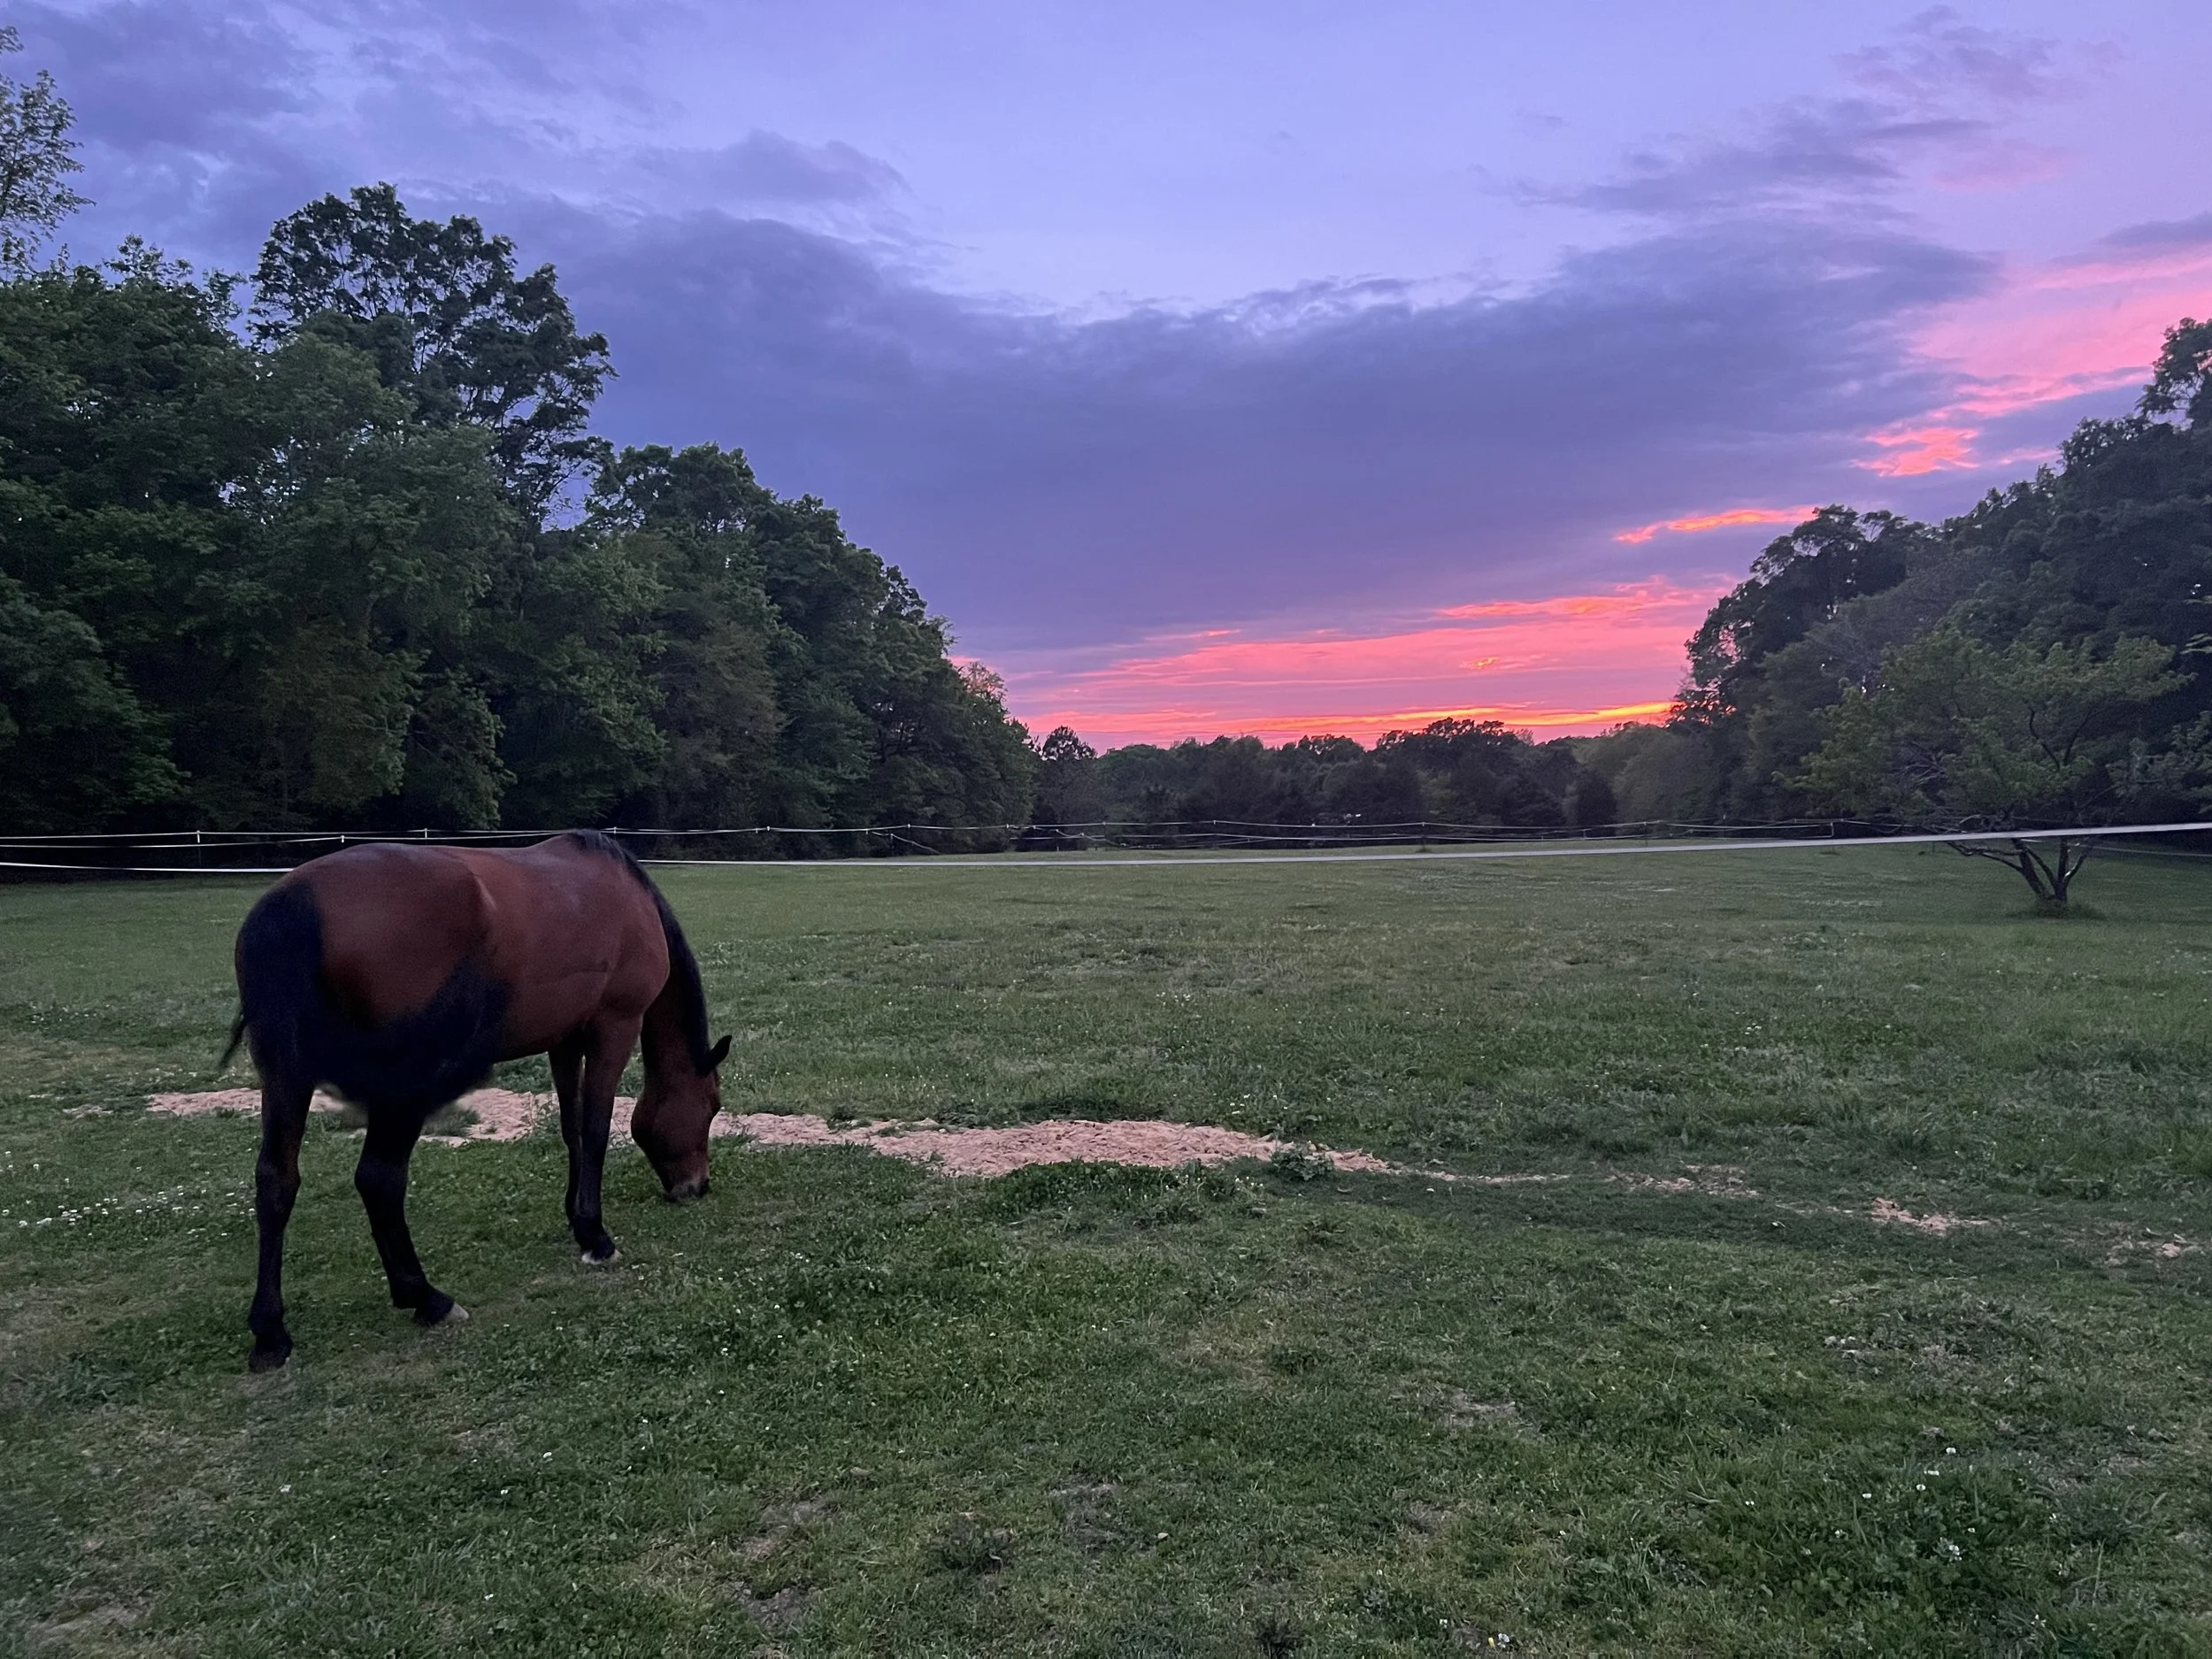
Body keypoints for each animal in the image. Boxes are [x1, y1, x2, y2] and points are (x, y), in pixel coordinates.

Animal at [223, 830, 731, 1372]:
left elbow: (571, 1130)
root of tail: (298, 903)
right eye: (712, 1106)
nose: (697, 1186)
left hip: (286, 1077)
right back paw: (427, 1298)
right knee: (378, 1179)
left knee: (277, 1180)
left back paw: (271, 1332)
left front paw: (574, 1217)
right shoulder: (613, 1028)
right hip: (402, 1087)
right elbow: (595, 1132)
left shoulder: (563, 1039)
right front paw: (595, 1236)